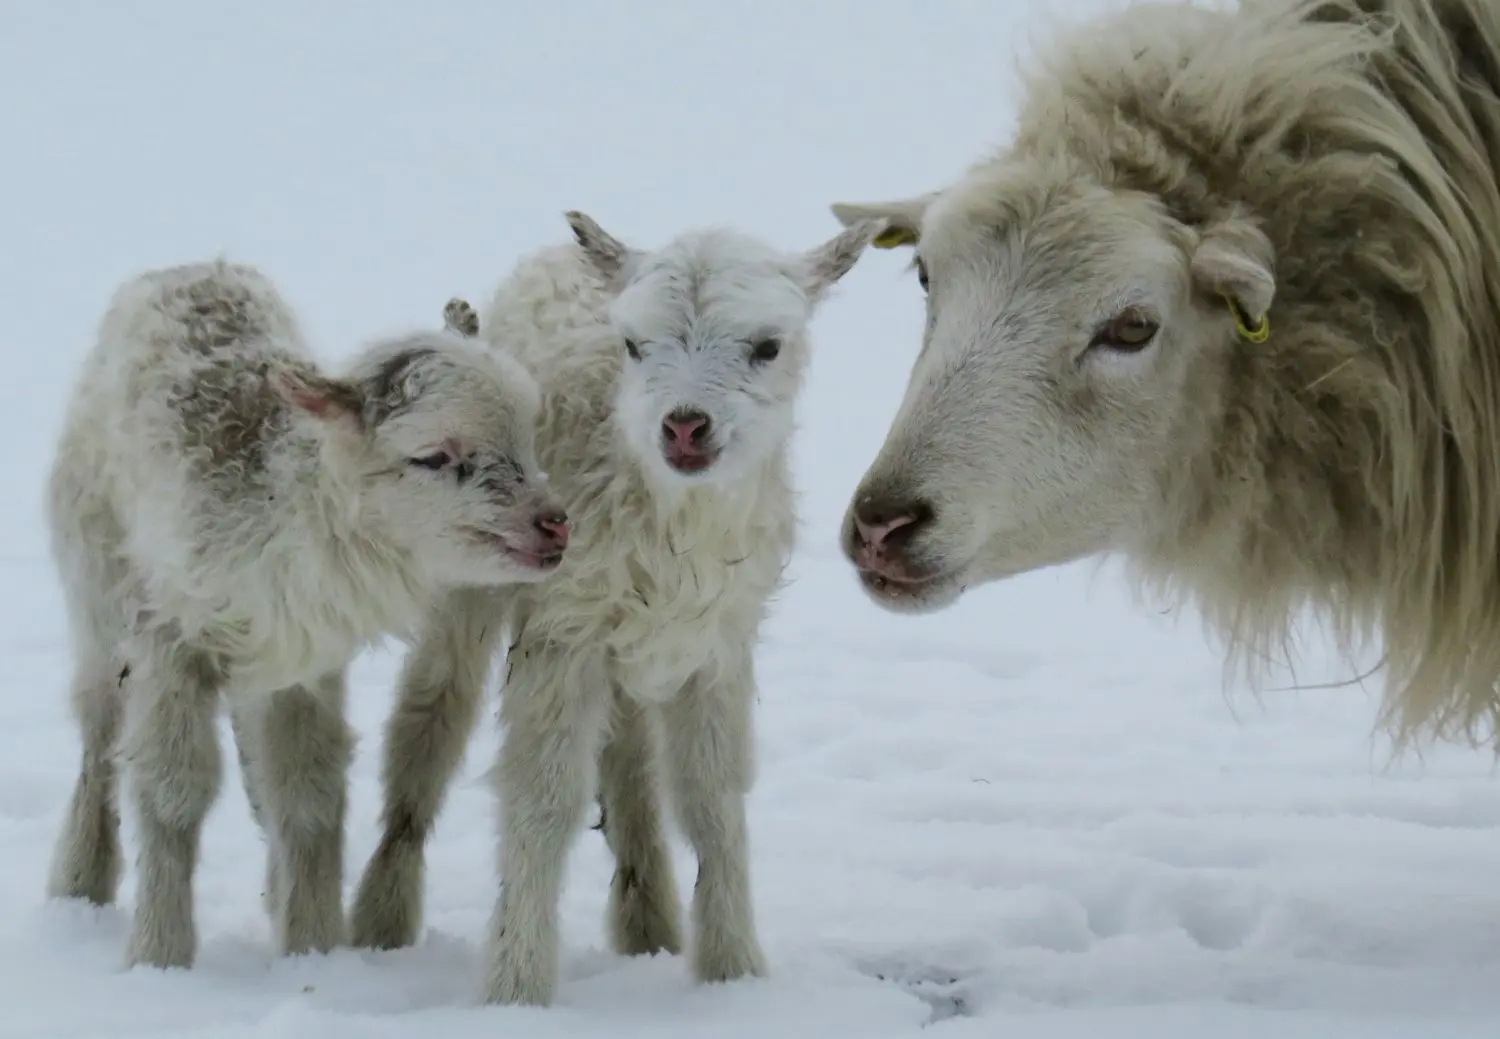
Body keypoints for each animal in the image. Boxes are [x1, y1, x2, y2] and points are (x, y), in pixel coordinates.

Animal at [44, 258, 569, 971]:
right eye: (433, 456)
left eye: (528, 438)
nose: (553, 525)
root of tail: (185, 267)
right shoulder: (169, 633)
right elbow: (171, 792)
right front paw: (159, 955)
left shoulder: (305, 658)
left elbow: (309, 795)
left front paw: (314, 951)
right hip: (94, 574)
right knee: (98, 732)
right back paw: (79, 884)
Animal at [348, 211, 885, 1005]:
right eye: (634, 345)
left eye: (767, 346)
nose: (685, 425)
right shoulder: (561, 630)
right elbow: (542, 799)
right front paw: (516, 989)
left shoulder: (717, 643)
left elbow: (712, 797)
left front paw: (734, 973)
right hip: (466, 577)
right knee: (429, 723)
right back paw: (380, 919)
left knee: (630, 763)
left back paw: (649, 922)